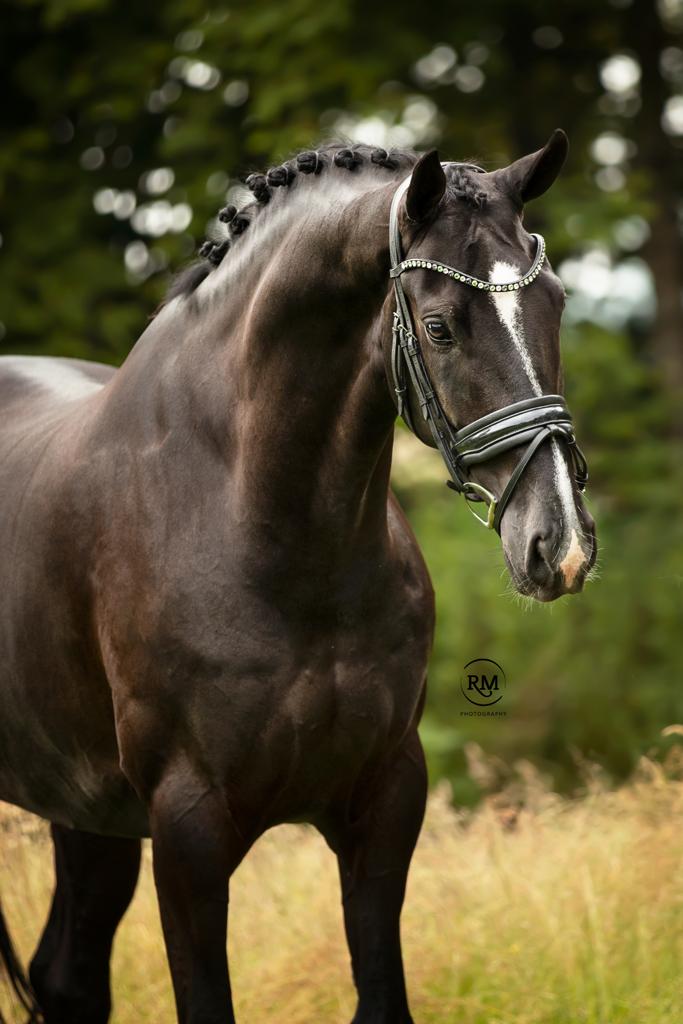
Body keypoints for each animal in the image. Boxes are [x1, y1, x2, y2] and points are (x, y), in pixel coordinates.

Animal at [0, 132, 596, 1024]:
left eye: (553, 303)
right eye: (438, 327)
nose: (556, 543)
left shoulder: (384, 802)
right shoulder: (188, 830)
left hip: (85, 811)